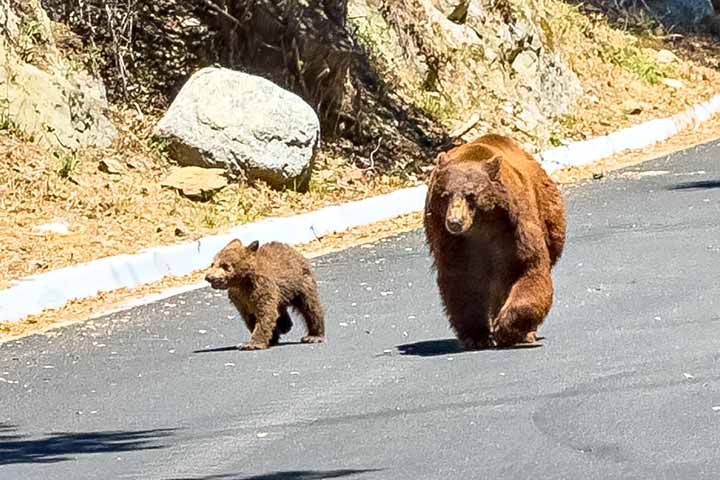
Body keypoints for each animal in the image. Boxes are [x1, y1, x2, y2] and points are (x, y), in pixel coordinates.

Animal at [423, 133, 566, 349]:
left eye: (471, 195)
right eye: (445, 195)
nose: (455, 222)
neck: (483, 226)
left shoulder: (516, 229)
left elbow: (529, 268)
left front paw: (505, 328)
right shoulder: (453, 242)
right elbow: (462, 281)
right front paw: (476, 335)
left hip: (548, 216)